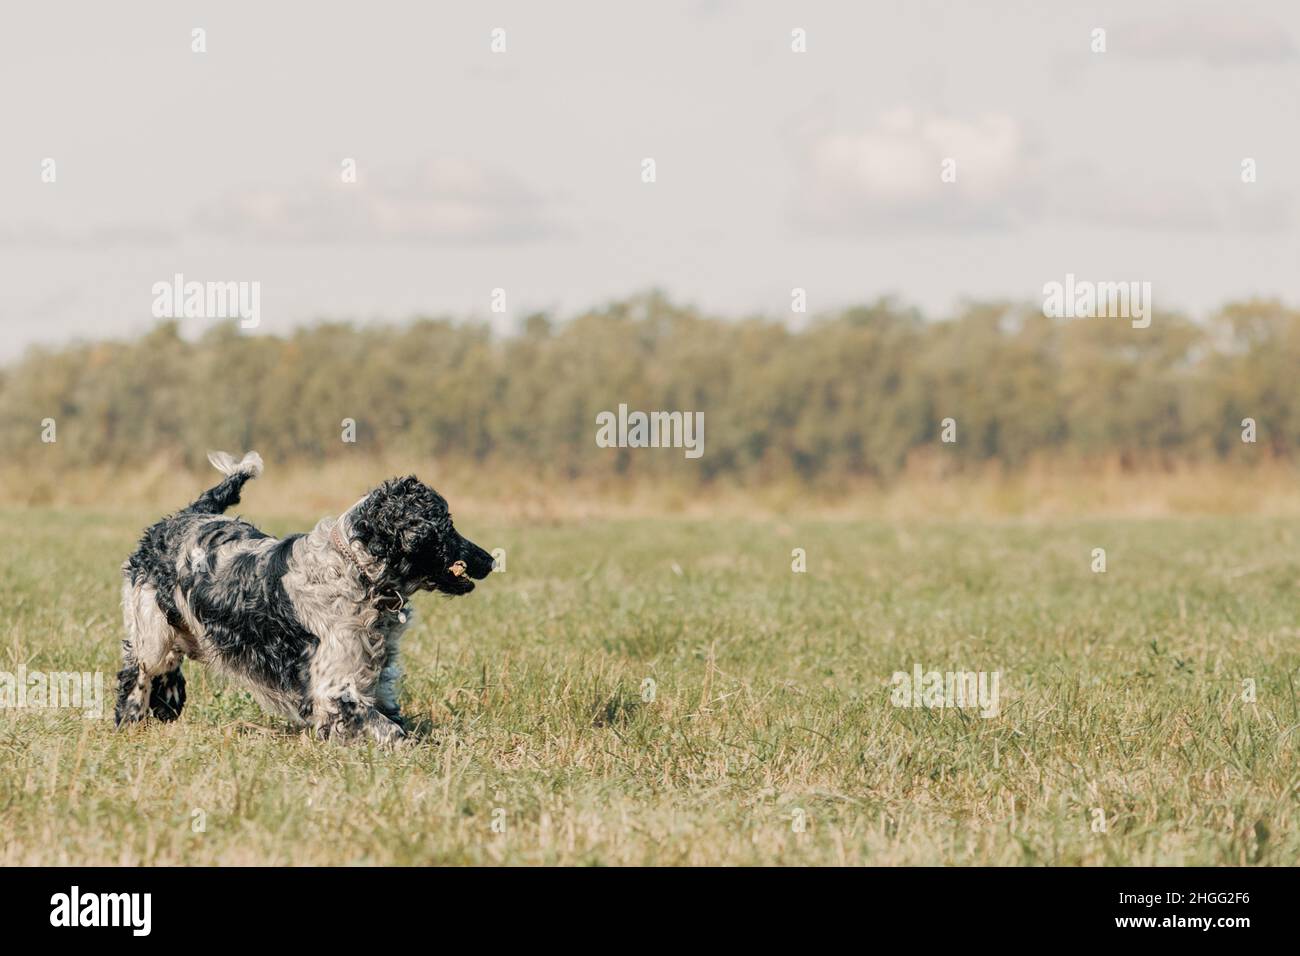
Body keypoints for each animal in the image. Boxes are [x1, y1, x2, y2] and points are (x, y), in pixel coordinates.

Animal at [116, 452, 493, 743]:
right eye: (446, 526)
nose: (489, 559)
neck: (355, 572)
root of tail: (186, 515)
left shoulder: (376, 676)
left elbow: (395, 720)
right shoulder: (334, 689)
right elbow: (392, 732)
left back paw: (168, 703)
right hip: (151, 632)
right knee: (138, 669)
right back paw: (130, 721)